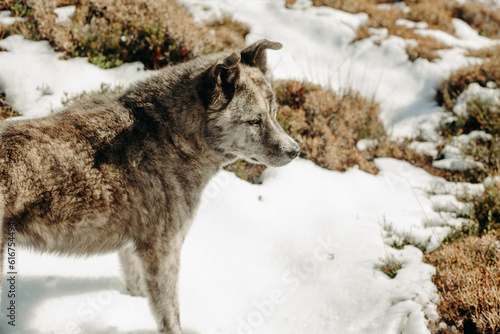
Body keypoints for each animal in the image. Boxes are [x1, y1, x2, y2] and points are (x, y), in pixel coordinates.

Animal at [0, 38, 296, 332]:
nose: (296, 151)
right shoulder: (162, 250)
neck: (172, 138)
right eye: (254, 121)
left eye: (274, 113)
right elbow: (170, 316)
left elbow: (137, 287)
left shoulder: (133, 245)